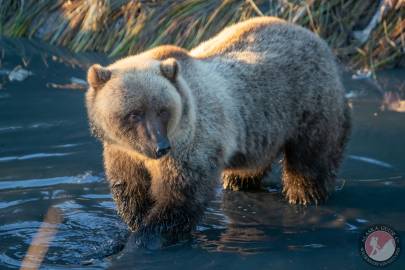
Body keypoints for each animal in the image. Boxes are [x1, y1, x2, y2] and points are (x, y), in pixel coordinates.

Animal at [85, 16, 350, 236]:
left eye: (163, 110)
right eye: (134, 114)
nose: (160, 146)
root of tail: (314, 36)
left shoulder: (192, 143)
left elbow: (181, 197)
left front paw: (151, 234)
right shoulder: (121, 152)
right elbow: (130, 190)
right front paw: (137, 222)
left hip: (310, 105)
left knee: (310, 160)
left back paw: (306, 196)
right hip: (260, 131)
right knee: (249, 167)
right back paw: (239, 184)